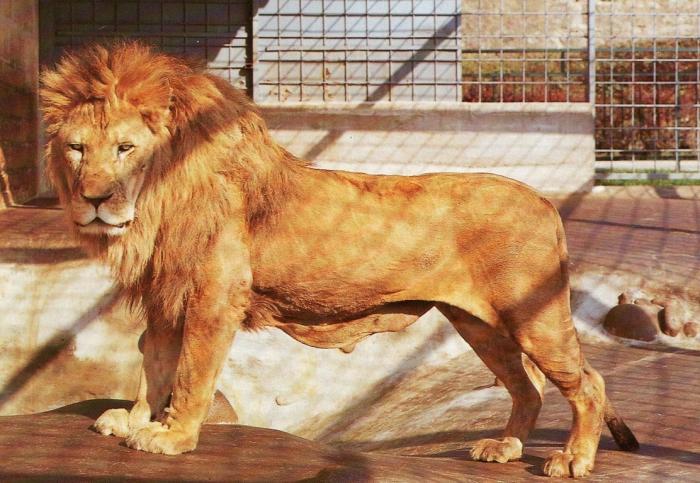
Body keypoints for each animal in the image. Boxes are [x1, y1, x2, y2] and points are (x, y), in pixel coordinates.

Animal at [40, 42, 638, 477]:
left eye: (125, 148)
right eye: (76, 148)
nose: (94, 199)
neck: (158, 201)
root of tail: (544, 200)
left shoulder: (213, 297)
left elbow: (190, 373)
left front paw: (172, 438)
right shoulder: (167, 295)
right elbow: (154, 364)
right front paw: (135, 420)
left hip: (533, 316)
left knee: (588, 383)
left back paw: (573, 460)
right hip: (479, 325)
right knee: (527, 386)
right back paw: (506, 447)